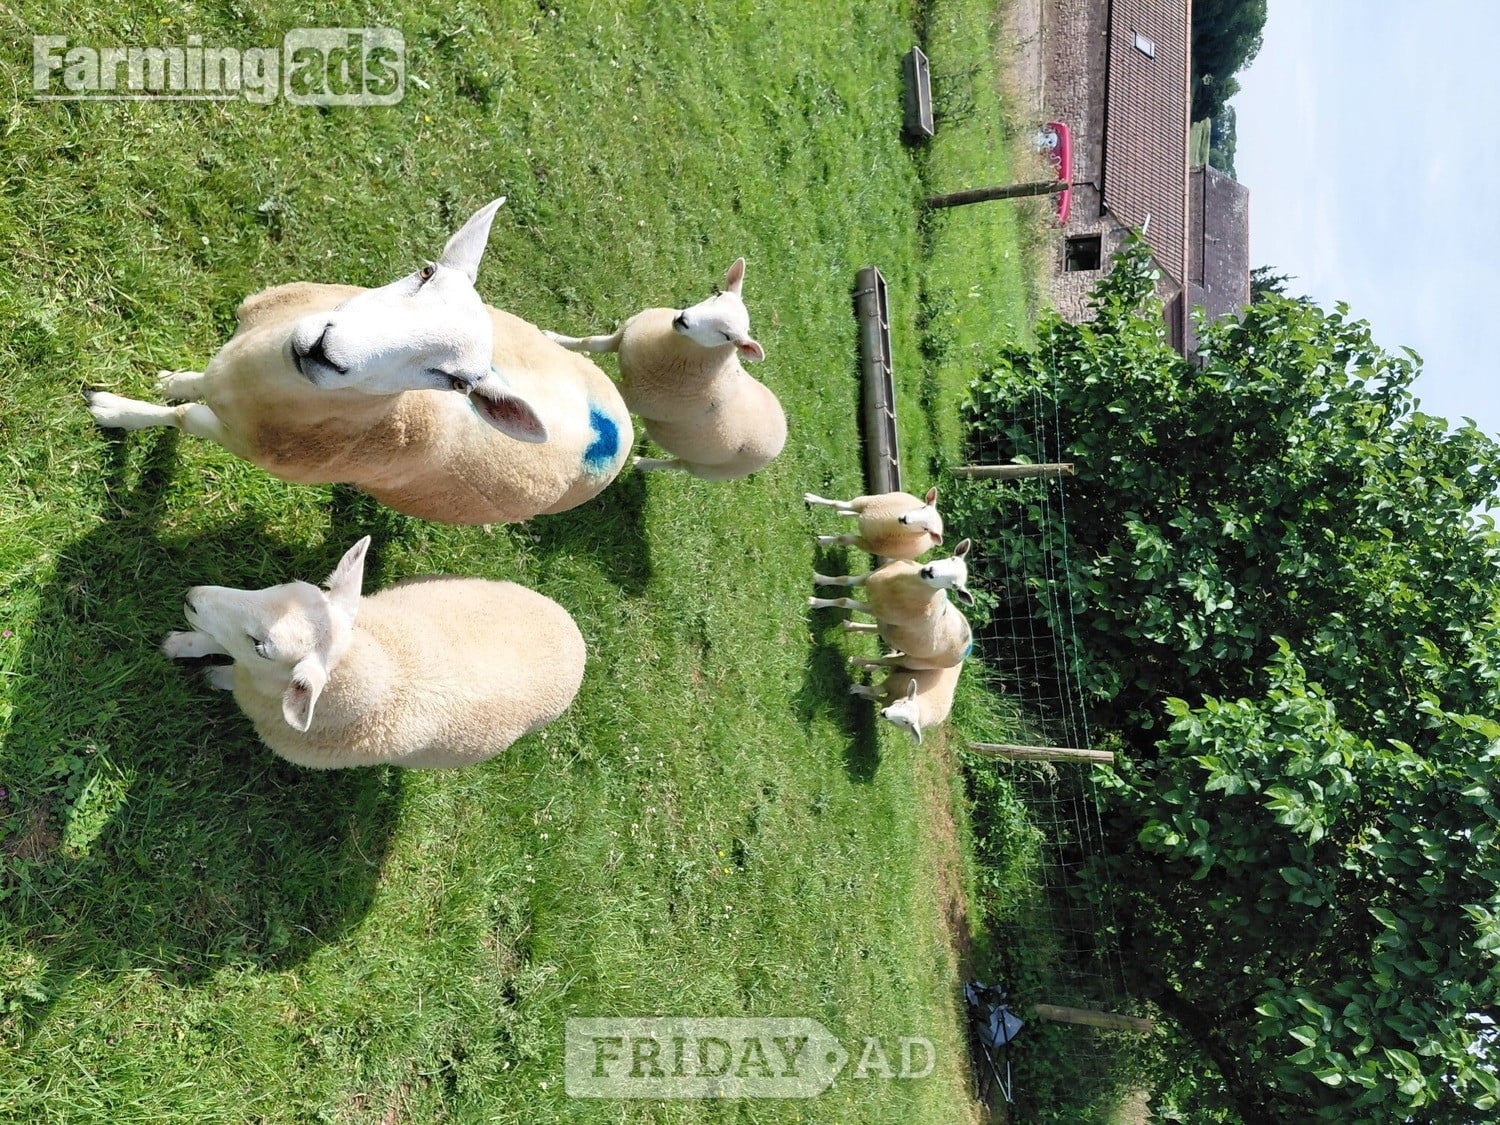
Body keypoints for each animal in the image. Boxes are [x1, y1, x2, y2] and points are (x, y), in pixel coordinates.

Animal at [85, 198, 634, 524]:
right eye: (426, 271)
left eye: (458, 383)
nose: (326, 350)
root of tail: (618, 430)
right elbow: (191, 385)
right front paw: (172, 380)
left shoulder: (235, 438)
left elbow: (180, 417)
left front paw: (114, 410)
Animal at [161, 537, 585, 769]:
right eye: (279, 587)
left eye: (261, 646)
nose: (193, 598)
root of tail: (575, 633)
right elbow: (213, 640)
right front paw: (179, 643)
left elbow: (228, 670)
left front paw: (209, 675)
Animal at [544, 257, 786, 480]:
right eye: (717, 294)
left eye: (727, 336)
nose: (683, 319)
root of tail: (784, 424)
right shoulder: (625, 334)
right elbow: (590, 342)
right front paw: (554, 339)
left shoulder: (634, 396)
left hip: (708, 469)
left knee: (678, 465)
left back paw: (643, 463)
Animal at [803, 486, 944, 560]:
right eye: (923, 507)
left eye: (926, 529)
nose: (904, 519)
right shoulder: (863, 503)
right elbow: (836, 503)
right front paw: (811, 498)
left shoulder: (867, 545)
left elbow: (843, 539)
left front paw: (822, 541)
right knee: (852, 512)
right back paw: (843, 513)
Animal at [809, 539, 974, 670]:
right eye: (951, 558)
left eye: (954, 586)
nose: (930, 572)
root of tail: (969, 644)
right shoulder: (869, 577)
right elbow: (843, 579)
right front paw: (818, 578)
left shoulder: (875, 609)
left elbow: (844, 601)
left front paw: (814, 602)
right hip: (892, 629)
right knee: (880, 629)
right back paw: (850, 626)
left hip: (913, 661)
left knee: (886, 661)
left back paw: (856, 660)